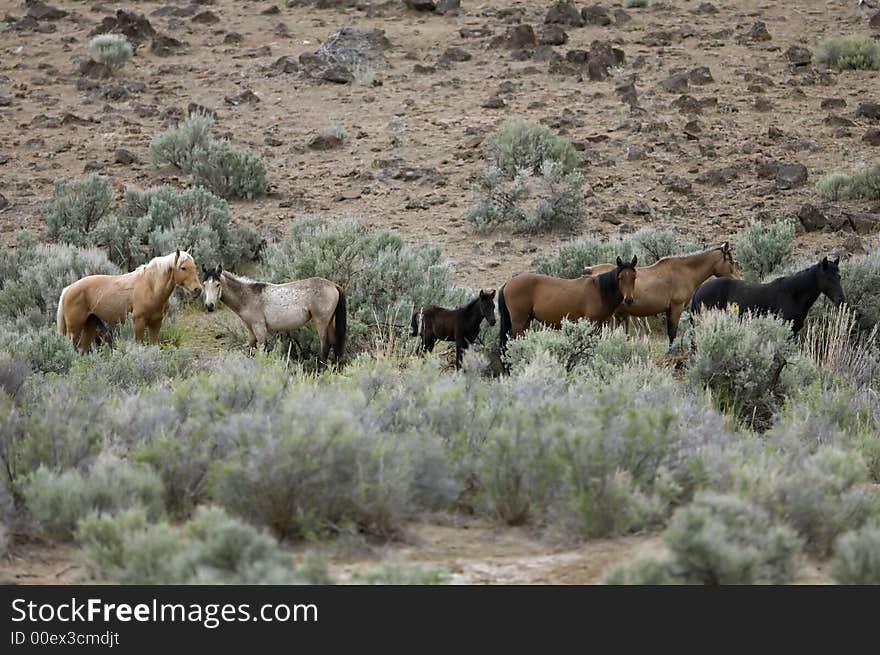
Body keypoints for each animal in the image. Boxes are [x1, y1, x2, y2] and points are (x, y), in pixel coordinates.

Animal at [57, 249, 202, 354]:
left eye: (194, 266)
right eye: (183, 268)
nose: (198, 290)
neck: (150, 287)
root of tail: (67, 289)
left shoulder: (156, 322)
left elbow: (154, 346)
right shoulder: (139, 321)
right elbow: (139, 345)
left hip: (90, 324)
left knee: (82, 349)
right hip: (74, 328)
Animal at [498, 255, 636, 356]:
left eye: (634, 277)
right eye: (620, 277)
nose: (629, 300)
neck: (599, 290)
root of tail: (508, 283)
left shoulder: (600, 325)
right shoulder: (593, 324)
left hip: (526, 321)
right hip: (519, 322)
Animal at [584, 241, 744, 344]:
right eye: (731, 261)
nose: (740, 279)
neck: (684, 271)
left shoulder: (668, 310)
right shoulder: (676, 308)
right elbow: (672, 333)